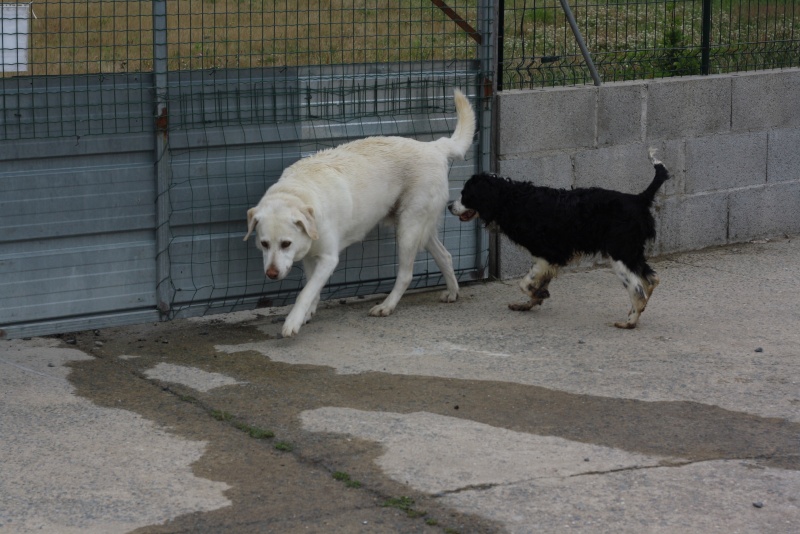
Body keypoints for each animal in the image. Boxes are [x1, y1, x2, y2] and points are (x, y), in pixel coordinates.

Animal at [241, 89, 472, 338]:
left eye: (286, 244)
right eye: (264, 244)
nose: (271, 274)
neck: (298, 193)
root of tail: (434, 146)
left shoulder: (328, 258)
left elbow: (305, 292)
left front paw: (293, 321)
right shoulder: (312, 257)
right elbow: (312, 289)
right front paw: (307, 313)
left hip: (408, 229)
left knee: (406, 274)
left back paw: (386, 306)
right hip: (420, 228)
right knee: (445, 256)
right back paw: (452, 292)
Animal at [450, 151, 668, 330]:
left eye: (465, 194)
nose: (449, 206)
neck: (510, 199)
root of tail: (639, 199)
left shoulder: (549, 254)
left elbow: (525, 284)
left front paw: (537, 296)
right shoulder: (548, 260)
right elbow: (537, 283)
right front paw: (528, 303)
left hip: (620, 253)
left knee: (638, 290)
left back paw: (629, 322)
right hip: (631, 252)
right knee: (652, 280)